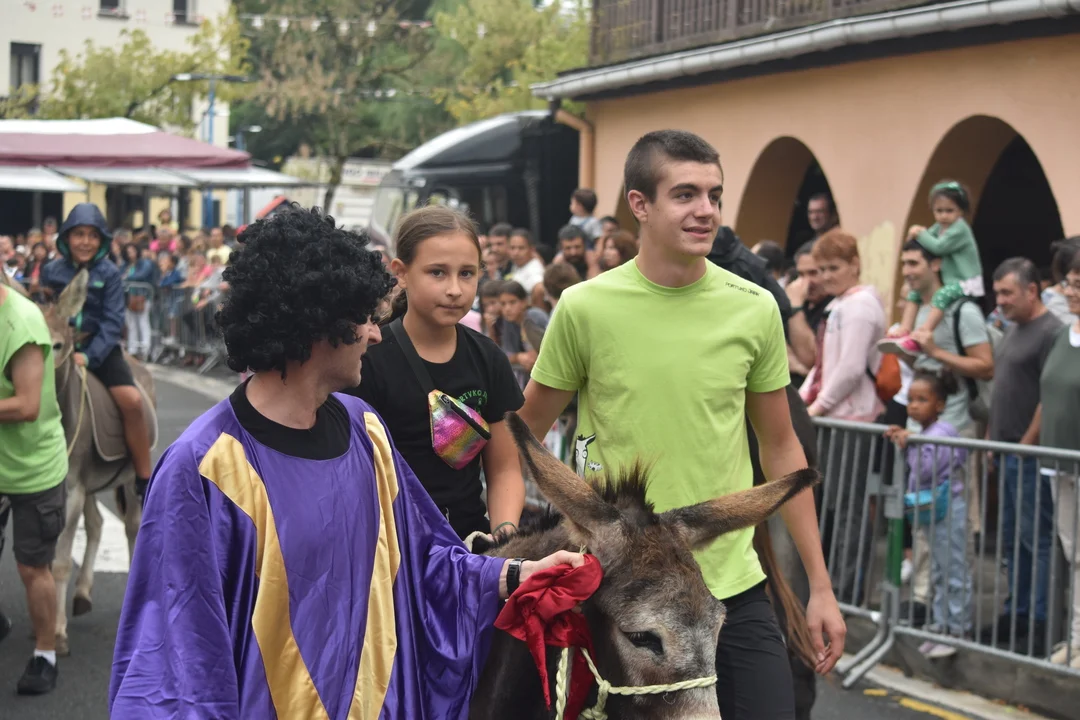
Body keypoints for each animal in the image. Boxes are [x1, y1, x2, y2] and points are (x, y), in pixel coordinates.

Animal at [35, 269, 157, 656]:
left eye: (58, 345)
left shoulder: (72, 489)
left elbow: (60, 562)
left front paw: (58, 634)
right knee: (98, 524)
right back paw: (83, 594)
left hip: (130, 478)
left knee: (132, 526)